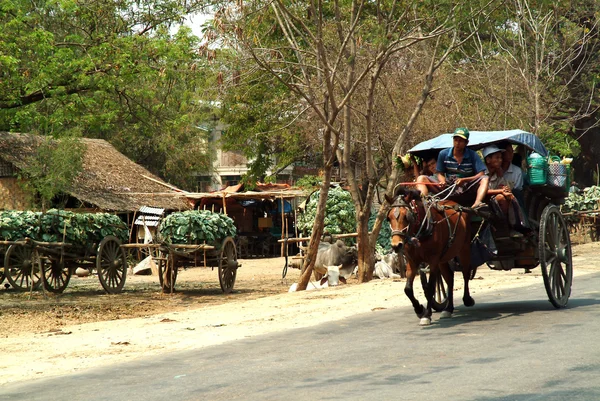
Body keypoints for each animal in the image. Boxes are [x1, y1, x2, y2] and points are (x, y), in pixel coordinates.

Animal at [386, 186, 476, 324]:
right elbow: (408, 289)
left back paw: (467, 299)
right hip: (443, 259)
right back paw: (448, 309)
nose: (397, 245)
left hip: (464, 249)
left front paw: (427, 314)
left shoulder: (433, 262)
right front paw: (419, 310)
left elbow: (430, 288)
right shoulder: (412, 262)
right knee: (450, 279)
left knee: (466, 272)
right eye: (388, 218)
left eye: (407, 217)